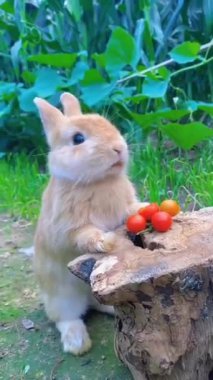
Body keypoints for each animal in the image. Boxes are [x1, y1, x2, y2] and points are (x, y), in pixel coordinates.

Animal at [33, 93, 148, 356]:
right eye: (78, 139)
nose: (119, 148)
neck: (99, 181)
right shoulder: (67, 228)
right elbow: (83, 235)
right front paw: (105, 242)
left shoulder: (124, 209)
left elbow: (132, 211)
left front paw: (149, 207)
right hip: (63, 296)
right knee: (66, 318)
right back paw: (77, 344)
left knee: (98, 304)